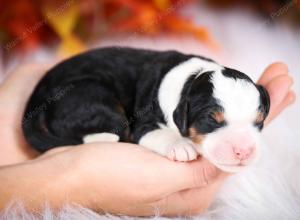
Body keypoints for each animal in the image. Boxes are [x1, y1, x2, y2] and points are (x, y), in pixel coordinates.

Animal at [21, 47, 270, 173]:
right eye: (212, 119)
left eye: (259, 122)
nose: (244, 151)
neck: (189, 80)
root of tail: (40, 92)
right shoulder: (144, 121)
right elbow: (154, 132)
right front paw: (180, 146)